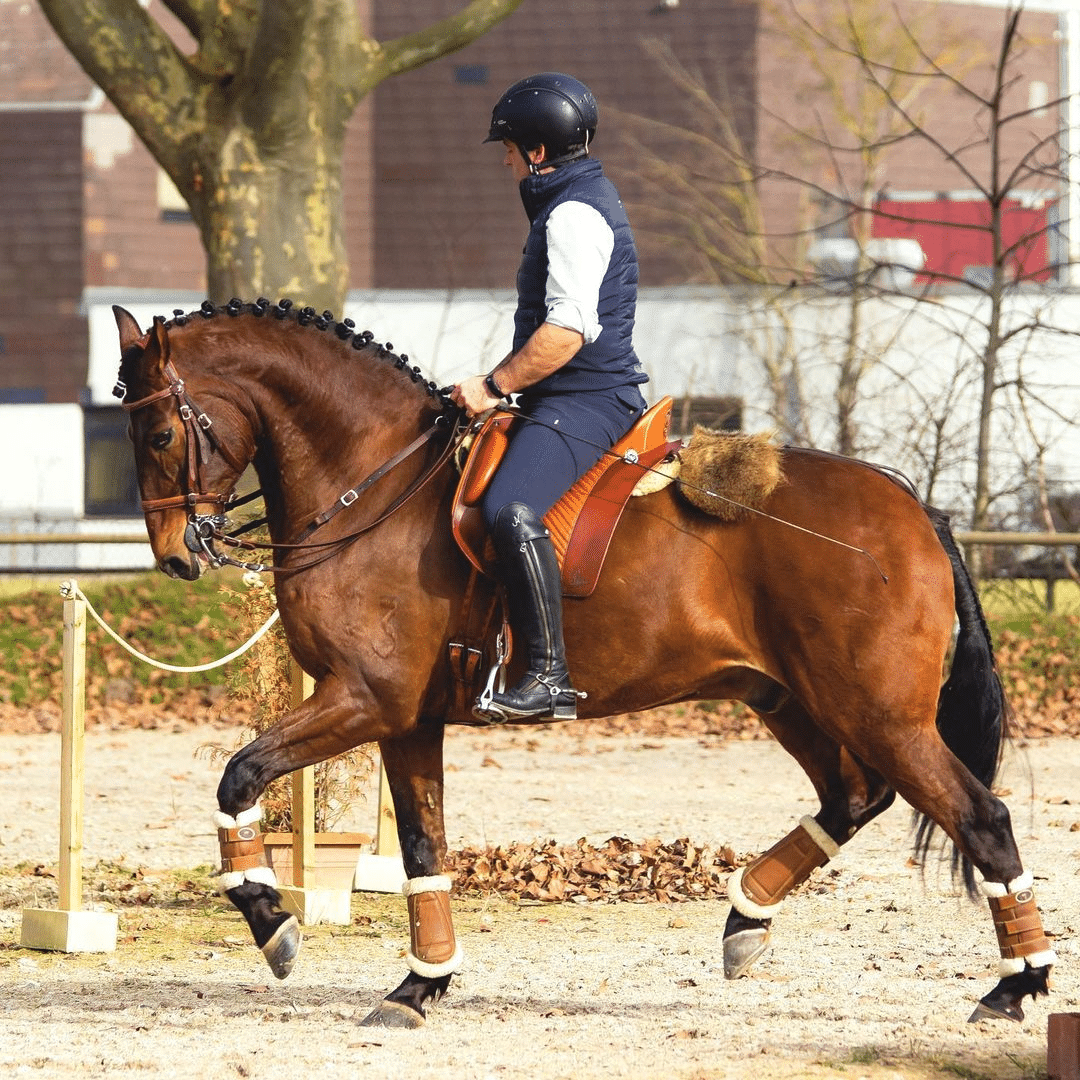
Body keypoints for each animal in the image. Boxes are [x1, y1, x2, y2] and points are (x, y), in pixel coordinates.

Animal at [111, 298, 1054, 1028]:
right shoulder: (406, 720)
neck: (374, 483)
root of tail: (915, 506)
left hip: (877, 711)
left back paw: (1016, 986)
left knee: (982, 819)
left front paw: (271, 920)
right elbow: (422, 848)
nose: (176, 557)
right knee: (854, 797)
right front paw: (421, 984)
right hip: (785, 697)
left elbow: (239, 775)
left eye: (156, 432)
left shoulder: (363, 701)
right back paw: (745, 920)